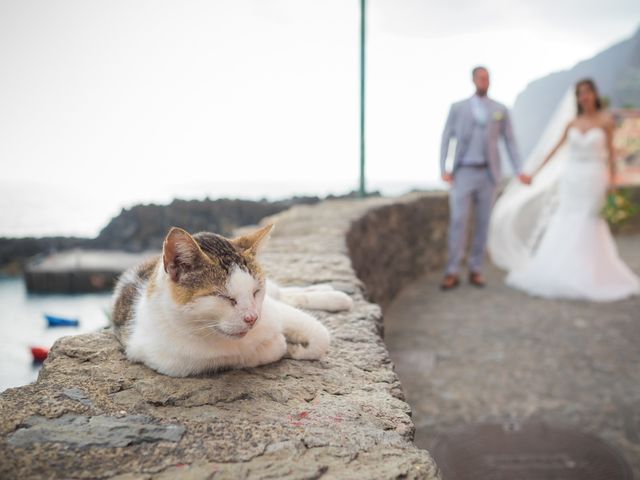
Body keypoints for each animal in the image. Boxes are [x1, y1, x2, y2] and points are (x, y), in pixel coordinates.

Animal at [110, 223, 350, 376]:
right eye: (224, 297)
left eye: (255, 291)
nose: (252, 317)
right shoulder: (171, 360)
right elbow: (259, 352)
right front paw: (281, 345)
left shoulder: (272, 310)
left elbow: (320, 336)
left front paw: (301, 349)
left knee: (282, 293)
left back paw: (333, 295)